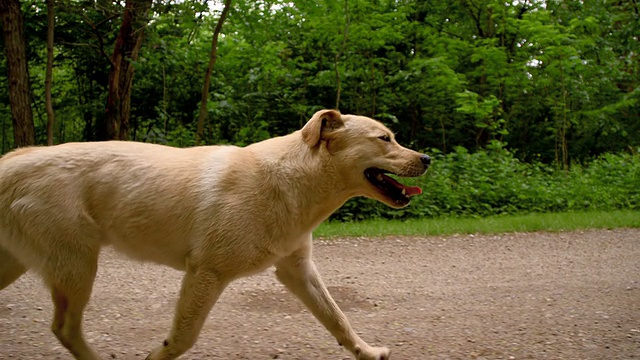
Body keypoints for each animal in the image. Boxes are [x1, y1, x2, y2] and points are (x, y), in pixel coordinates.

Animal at [1, 110, 430, 360]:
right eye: (385, 139)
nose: (427, 158)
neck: (293, 181)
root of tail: (12, 162)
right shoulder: (206, 273)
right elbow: (182, 339)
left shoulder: (297, 272)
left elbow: (338, 319)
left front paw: (367, 352)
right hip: (76, 268)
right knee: (65, 329)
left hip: (26, 264)